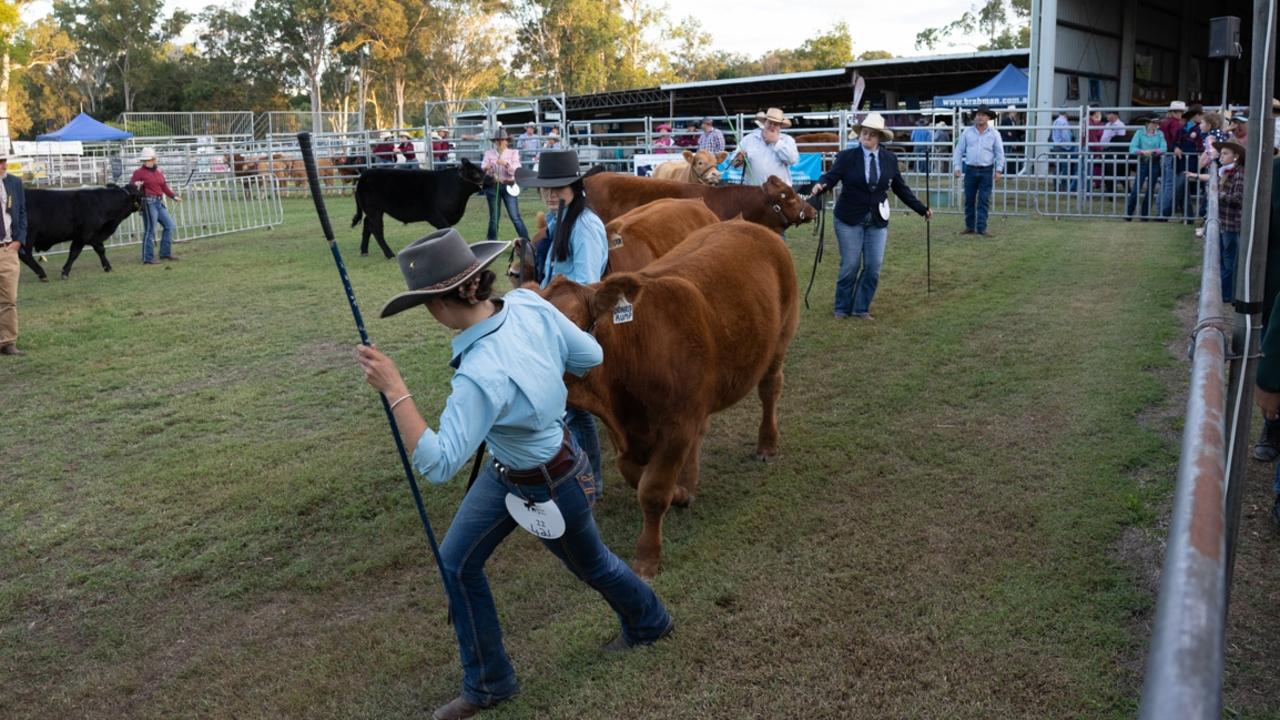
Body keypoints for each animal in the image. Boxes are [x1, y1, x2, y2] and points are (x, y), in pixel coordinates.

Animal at [350, 159, 488, 257]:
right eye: (475, 173)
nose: (490, 179)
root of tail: (365, 174)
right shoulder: (436, 216)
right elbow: (447, 229)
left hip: (373, 211)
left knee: (367, 225)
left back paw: (364, 251)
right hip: (374, 210)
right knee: (376, 229)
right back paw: (389, 254)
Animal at [540, 215, 798, 573]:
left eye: (568, 326)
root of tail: (748, 224)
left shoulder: (677, 426)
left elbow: (652, 490)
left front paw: (647, 556)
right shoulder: (629, 431)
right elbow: (634, 475)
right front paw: (682, 492)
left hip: (781, 337)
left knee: (770, 389)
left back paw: (767, 445)